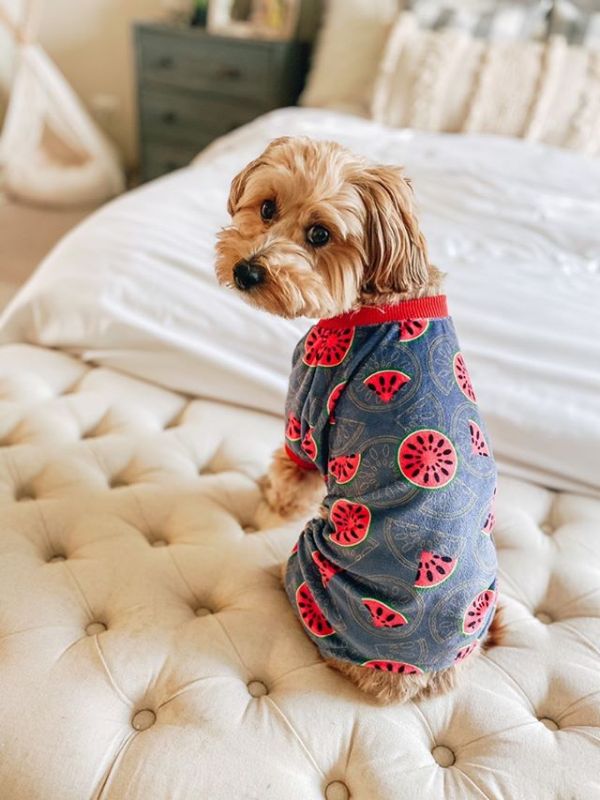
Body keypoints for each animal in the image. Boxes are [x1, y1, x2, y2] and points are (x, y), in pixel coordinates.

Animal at [214, 141, 496, 704]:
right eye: (266, 208)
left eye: (320, 235)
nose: (246, 271)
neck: (378, 298)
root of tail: (415, 677)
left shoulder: (304, 410)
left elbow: (287, 478)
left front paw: (267, 501)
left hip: (310, 562)